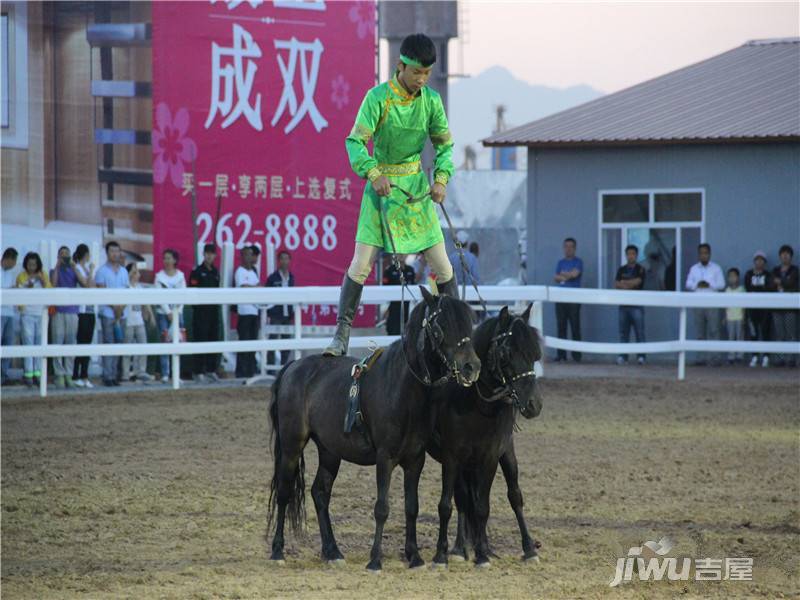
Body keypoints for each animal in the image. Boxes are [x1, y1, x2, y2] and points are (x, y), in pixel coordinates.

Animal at [268, 290, 482, 572]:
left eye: (470, 323)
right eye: (440, 327)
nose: (472, 367)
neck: (403, 388)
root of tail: (292, 367)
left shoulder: (415, 460)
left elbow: (411, 507)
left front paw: (415, 557)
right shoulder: (385, 457)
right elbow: (382, 507)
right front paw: (375, 560)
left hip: (329, 451)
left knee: (320, 493)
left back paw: (333, 552)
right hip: (292, 445)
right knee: (284, 493)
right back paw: (278, 551)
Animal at [424, 304, 544, 568]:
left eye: (535, 353)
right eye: (506, 354)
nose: (534, 405)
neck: (476, 404)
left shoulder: (490, 456)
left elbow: (486, 505)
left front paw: (489, 552)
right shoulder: (453, 457)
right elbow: (458, 502)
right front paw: (455, 551)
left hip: (504, 454)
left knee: (511, 495)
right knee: (464, 499)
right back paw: (463, 546)